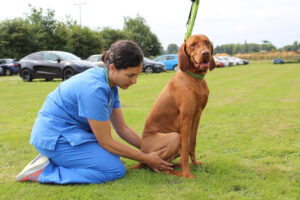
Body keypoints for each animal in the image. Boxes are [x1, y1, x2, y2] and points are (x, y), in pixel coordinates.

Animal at [138, 34, 216, 178]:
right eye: (192, 45)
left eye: (207, 42)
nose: (206, 53)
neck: (195, 79)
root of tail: (142, 155)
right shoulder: (185, 118)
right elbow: (185, 148)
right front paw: (187, 174)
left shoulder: (197, 116)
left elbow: (192, 143)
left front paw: (195, 163)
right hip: (173, 137)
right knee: (156, 166)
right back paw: (177, 172)